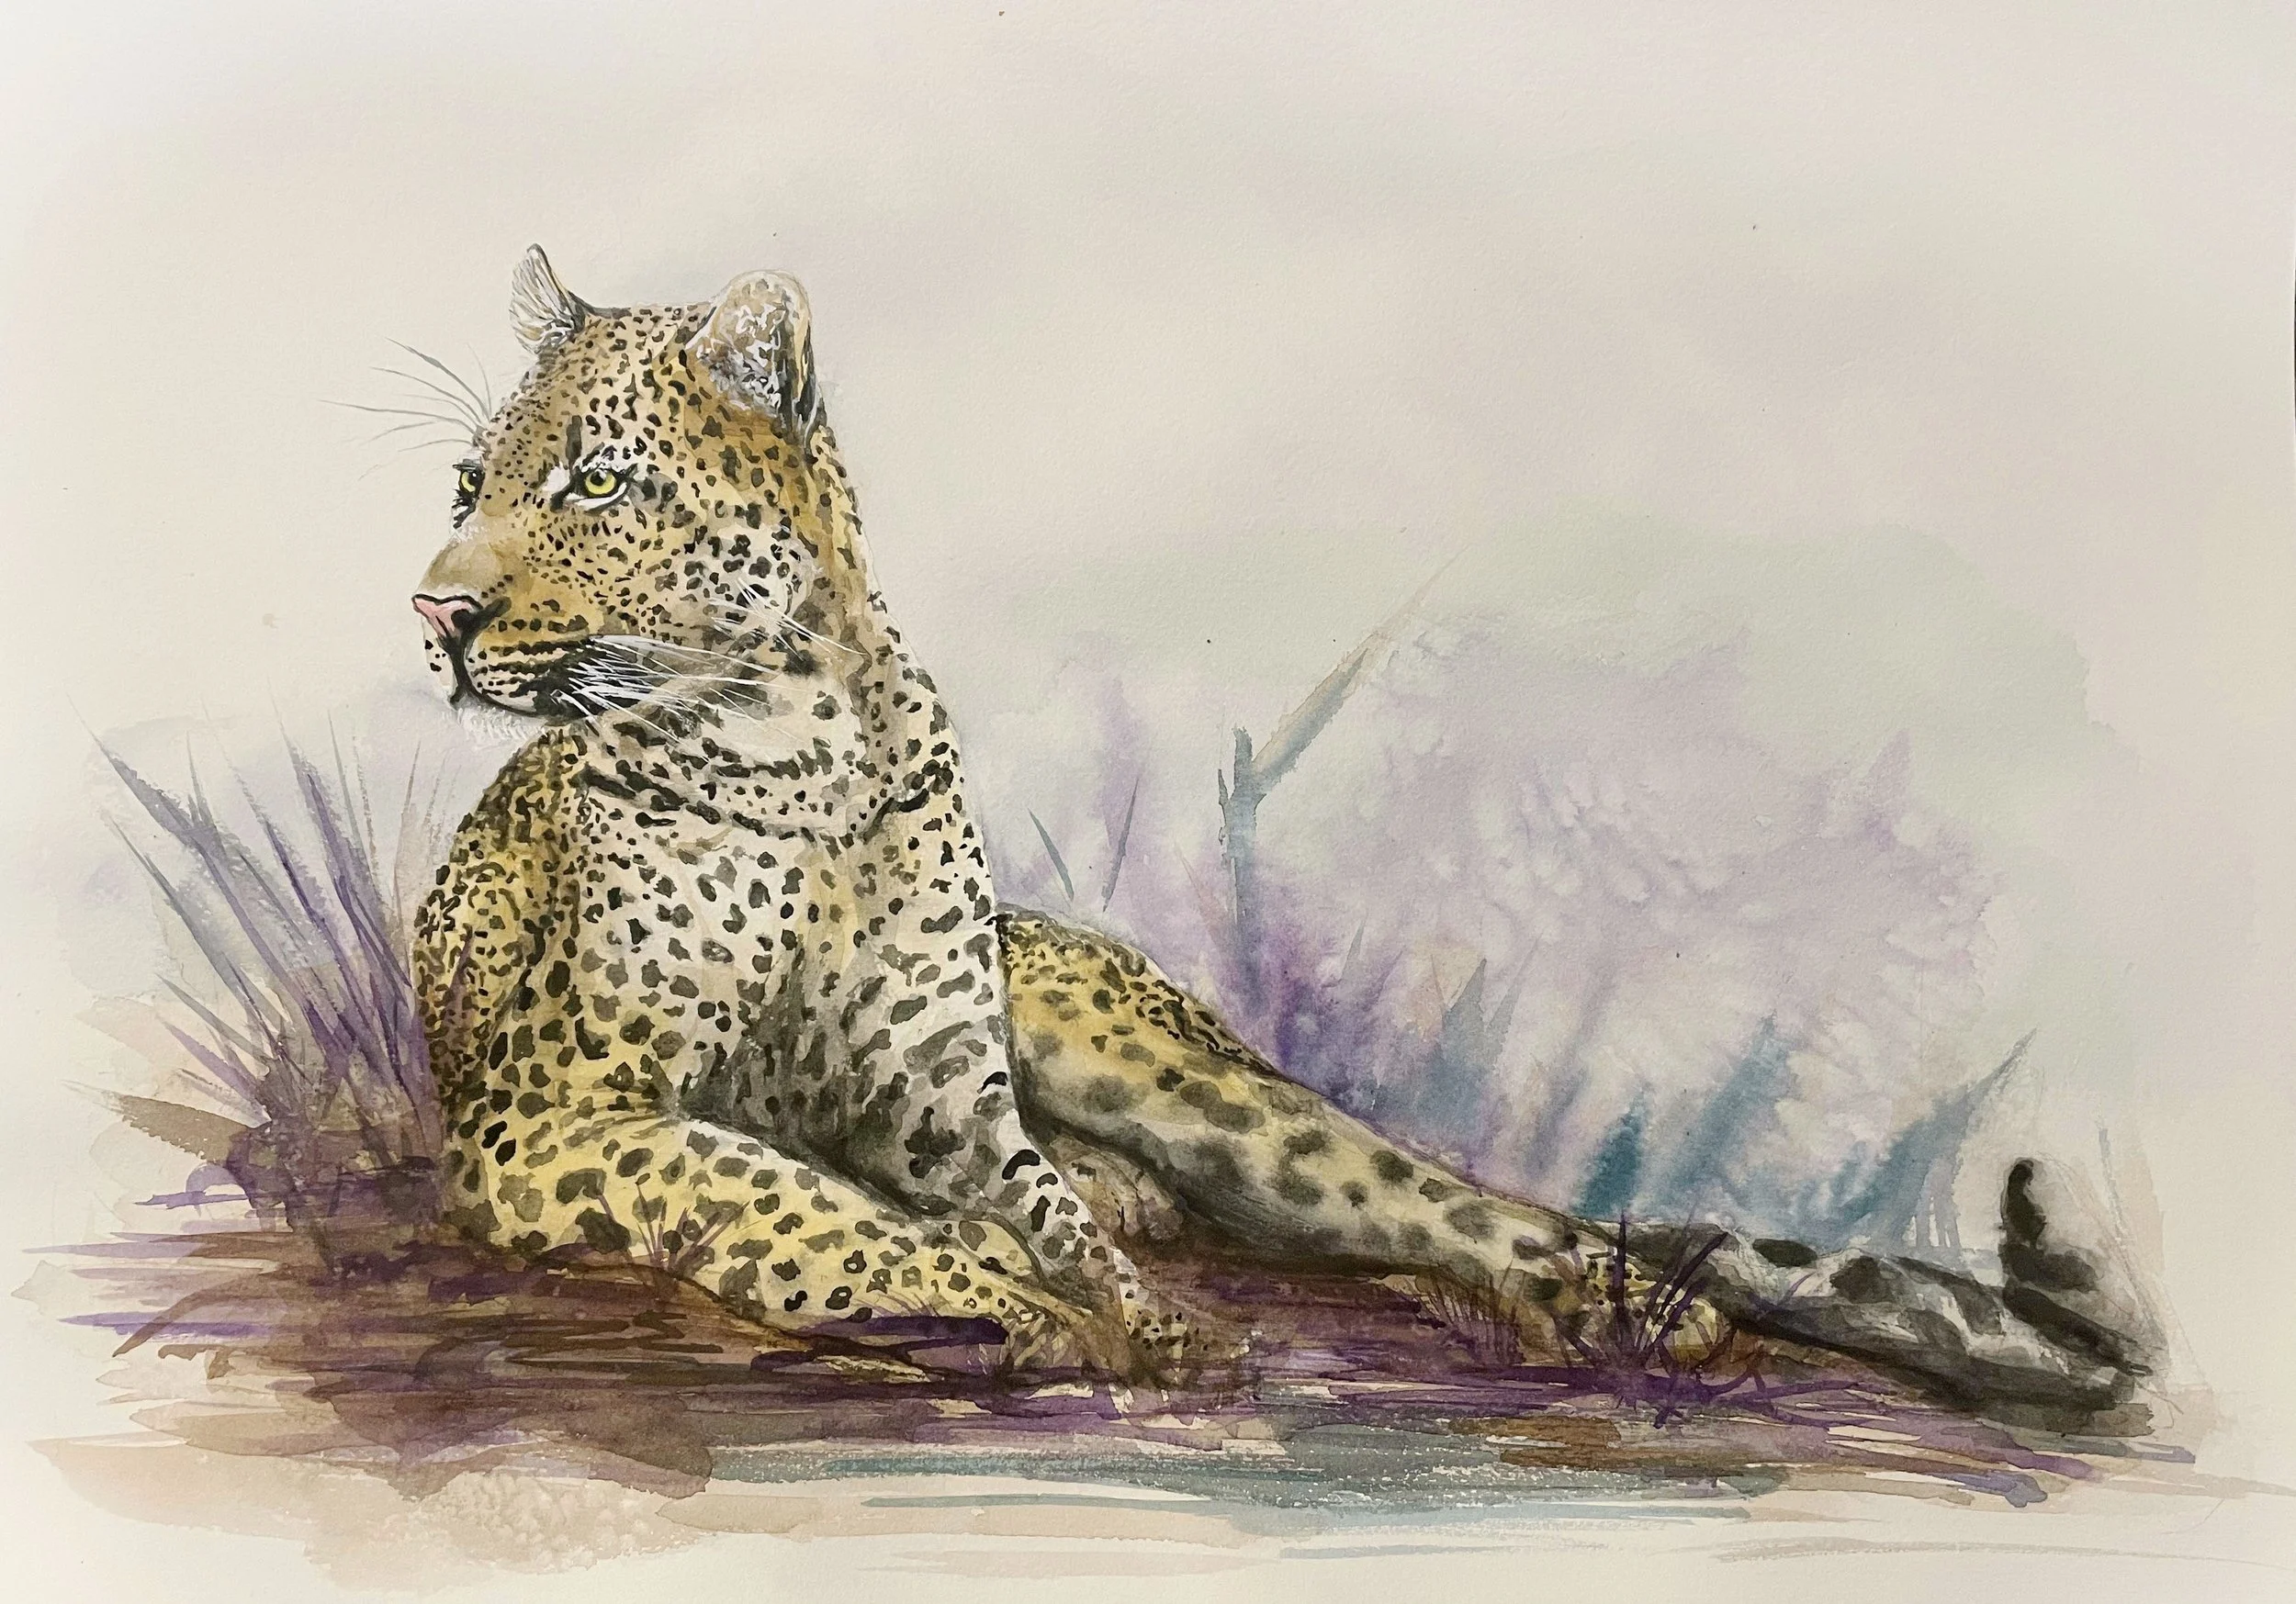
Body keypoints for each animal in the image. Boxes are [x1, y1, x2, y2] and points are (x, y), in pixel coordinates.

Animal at [411, 247, 2151, 1412]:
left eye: (591, 486)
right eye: (466, 481)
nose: (436, 613)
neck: (803, 748)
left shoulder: (944, 1104)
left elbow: (988, 1214)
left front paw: (1111, 1310)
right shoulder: (556, 1112)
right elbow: (783, 1196)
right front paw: (1002, 1298)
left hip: (1188, 1083)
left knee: (1417, 1196)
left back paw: (1613, 1300)